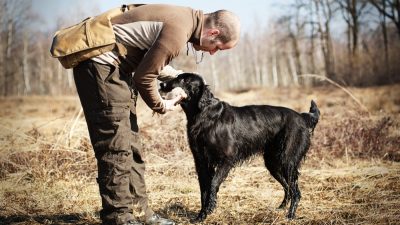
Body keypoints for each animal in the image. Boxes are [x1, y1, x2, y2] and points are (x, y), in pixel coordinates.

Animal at [159, 73, 318, 222]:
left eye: (184, 80)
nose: (161, 84)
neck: (204, 114)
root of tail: (301, 117)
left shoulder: (226, 159)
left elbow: (213, 184)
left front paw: (210, 208)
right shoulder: (201, 162)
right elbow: (204, 190)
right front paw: (201, 216)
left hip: (287, 161)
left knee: (296, 192)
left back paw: (290, 215)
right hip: (273, 163)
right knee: (288, 187)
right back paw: (280, 208)